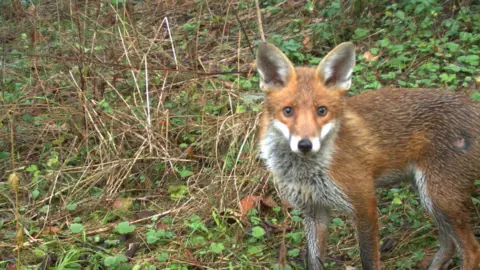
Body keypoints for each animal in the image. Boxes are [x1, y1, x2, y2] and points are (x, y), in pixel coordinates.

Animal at [256, 42, 480, 270]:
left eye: (321, 110)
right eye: (288, 111)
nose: (305, 145)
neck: (307, 172)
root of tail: (472, 105)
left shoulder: (364, 203)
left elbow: (369, 260)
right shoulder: (313, 211)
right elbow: (314, 262)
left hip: (440, 198)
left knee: (471, 249)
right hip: (428, 197)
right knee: (449, 245)